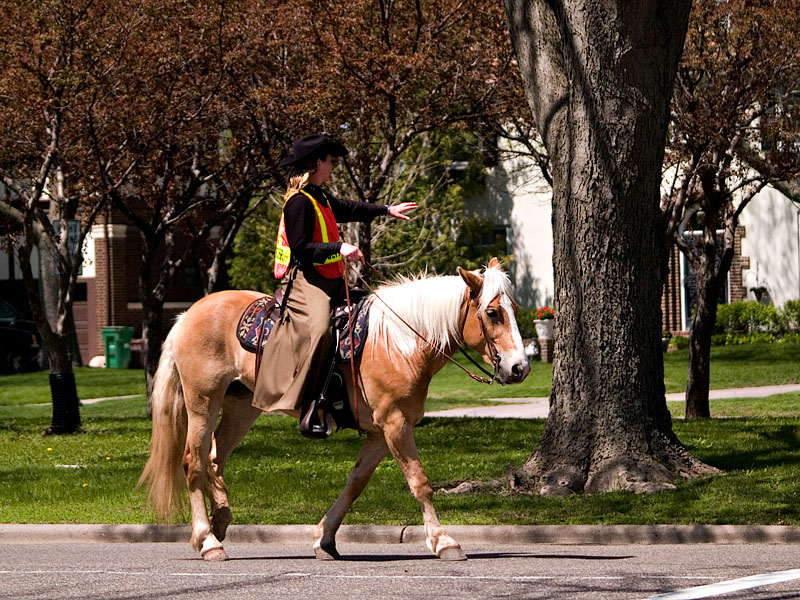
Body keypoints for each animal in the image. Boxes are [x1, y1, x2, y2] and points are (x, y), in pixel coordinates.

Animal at [139, 258, 532, 564]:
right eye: (492, 313)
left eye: (514, 310)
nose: (519, 368)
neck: (401, 342)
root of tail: (187, 315)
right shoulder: (395, 424)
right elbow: (420, 483)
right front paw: (444, 541)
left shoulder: (379, 432)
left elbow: (355, 483)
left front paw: (325, 538)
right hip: (203, 400)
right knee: (194, 461)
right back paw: (207, 541)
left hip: (241, 407)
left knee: (215, 458)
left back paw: (220, 520)